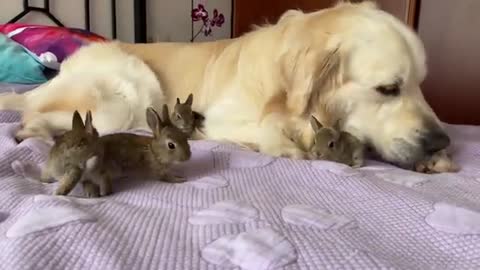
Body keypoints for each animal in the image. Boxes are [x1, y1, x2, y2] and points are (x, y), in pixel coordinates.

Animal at [0, 1, 458, 171]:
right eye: (388, 88)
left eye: (421, 84)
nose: (441, 140)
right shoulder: (222, 119)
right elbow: (278, 132)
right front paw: (293, 144)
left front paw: (436, 160)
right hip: (129, 87)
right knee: (37, 117)